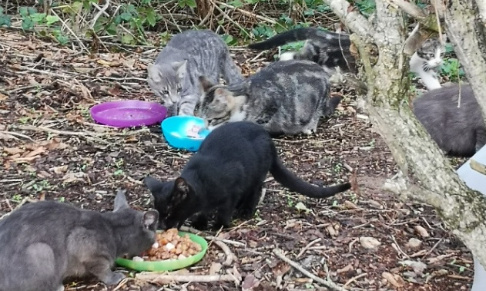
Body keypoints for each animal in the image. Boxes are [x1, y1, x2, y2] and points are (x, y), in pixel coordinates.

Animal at [0, 189, 158, 291]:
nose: (151, 246)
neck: (113, 230)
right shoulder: (83, 245)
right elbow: (103, 269)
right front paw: (115, 277)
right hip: (41, 251)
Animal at [142, 121, 352, 230]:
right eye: (159, 214)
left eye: (169, 213)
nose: (161, 226)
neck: (201, 183)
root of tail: (269, 139)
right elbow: (204, 210)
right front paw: (201, 222)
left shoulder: (232, 188)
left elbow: (224, 209)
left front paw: (219, 224)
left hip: (255, 173)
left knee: (256, 190)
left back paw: (245, 210)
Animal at [197, 60, 342, 137]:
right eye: (202, 118)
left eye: (211, 120)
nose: (204, 128)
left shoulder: (272, 104)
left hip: (316, 102)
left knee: (317, 113)